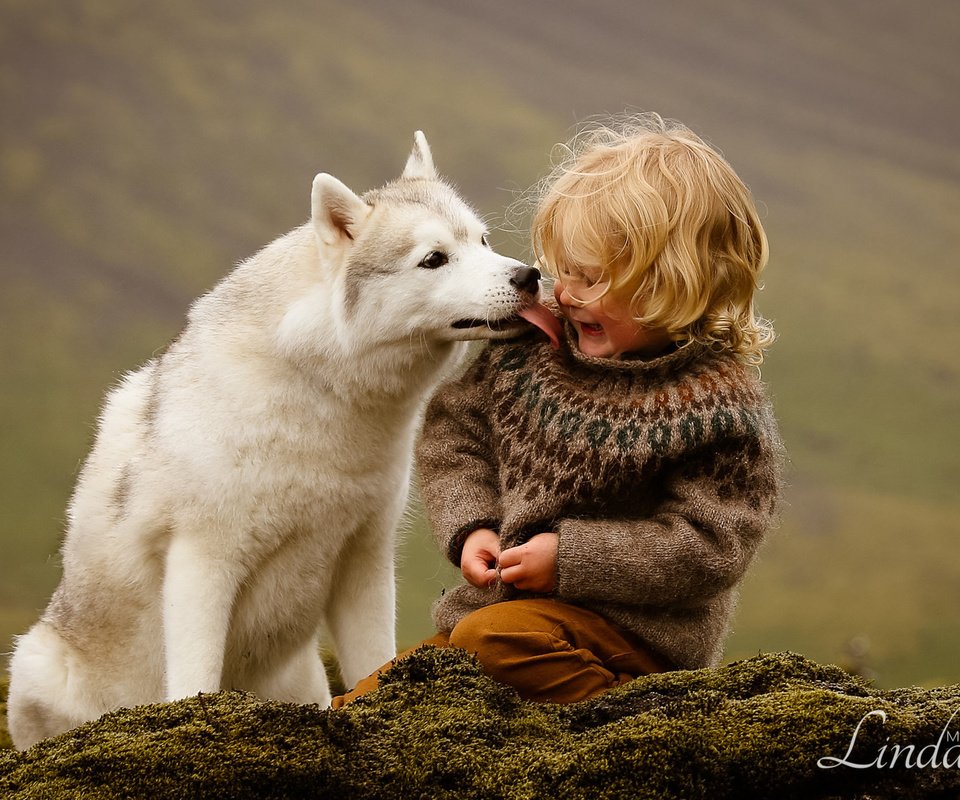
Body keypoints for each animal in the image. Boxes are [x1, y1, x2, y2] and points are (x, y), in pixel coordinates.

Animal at [5, 133, 564, 752]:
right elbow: (195, 681)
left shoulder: (364, 557)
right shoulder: (203, 561)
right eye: (433, 259)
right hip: (34, 661)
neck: (322, 401)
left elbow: (373, 662)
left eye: (481, 240)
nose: (528, 276)